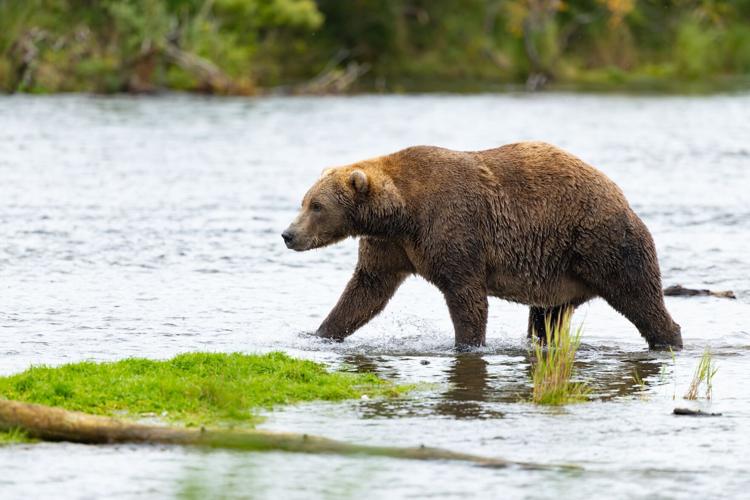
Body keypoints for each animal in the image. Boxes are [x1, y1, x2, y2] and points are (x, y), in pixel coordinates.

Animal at [282, 141, 683, 350]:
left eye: (317, 206)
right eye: (304, 201)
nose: (288, 234)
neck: (402, 212)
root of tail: (620, 195)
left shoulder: (453, 228)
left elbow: (466, 295)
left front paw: (467, 343)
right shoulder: (390, 246)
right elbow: (365, 290)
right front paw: (320, 333)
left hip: (600, 242)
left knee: (637, 294)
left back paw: (668, 339)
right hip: (557, 274)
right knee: (548, 318)